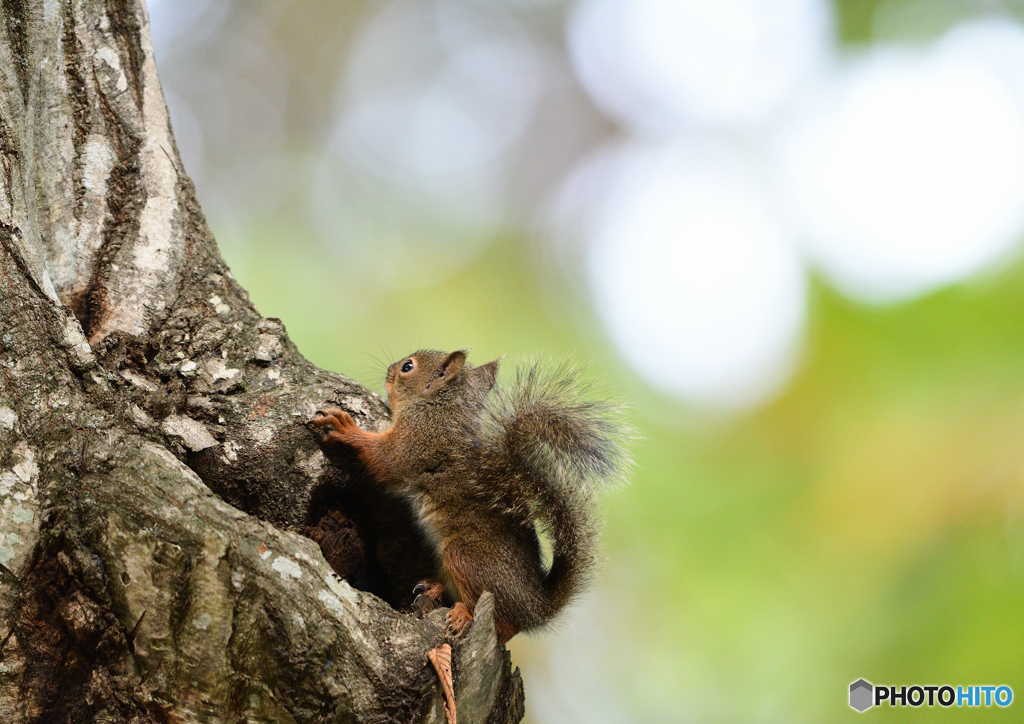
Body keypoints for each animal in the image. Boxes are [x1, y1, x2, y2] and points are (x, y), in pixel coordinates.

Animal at [311, 350, 626, 647]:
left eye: (407, 367)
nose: (388, 370)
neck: (440, 405)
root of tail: (536, 607)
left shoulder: (419, 440)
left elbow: (385, 459)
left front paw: (344, 427)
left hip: (465, 556)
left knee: (504, 626)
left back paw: (464, 614)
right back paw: (435, 587)